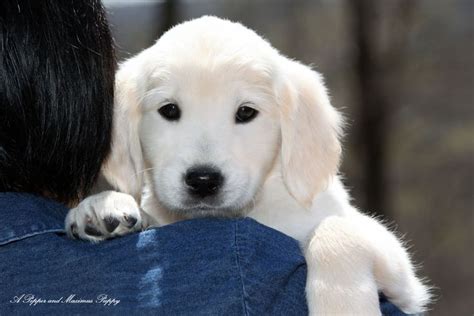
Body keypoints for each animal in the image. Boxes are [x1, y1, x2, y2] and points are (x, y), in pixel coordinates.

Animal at [65, 16, 432, 314]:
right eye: (169, 110)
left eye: (246, 112)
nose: (203, 180)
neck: (253, 210)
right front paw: (103, 205)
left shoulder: (406, 286)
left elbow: (338, 230)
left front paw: (342, 308)